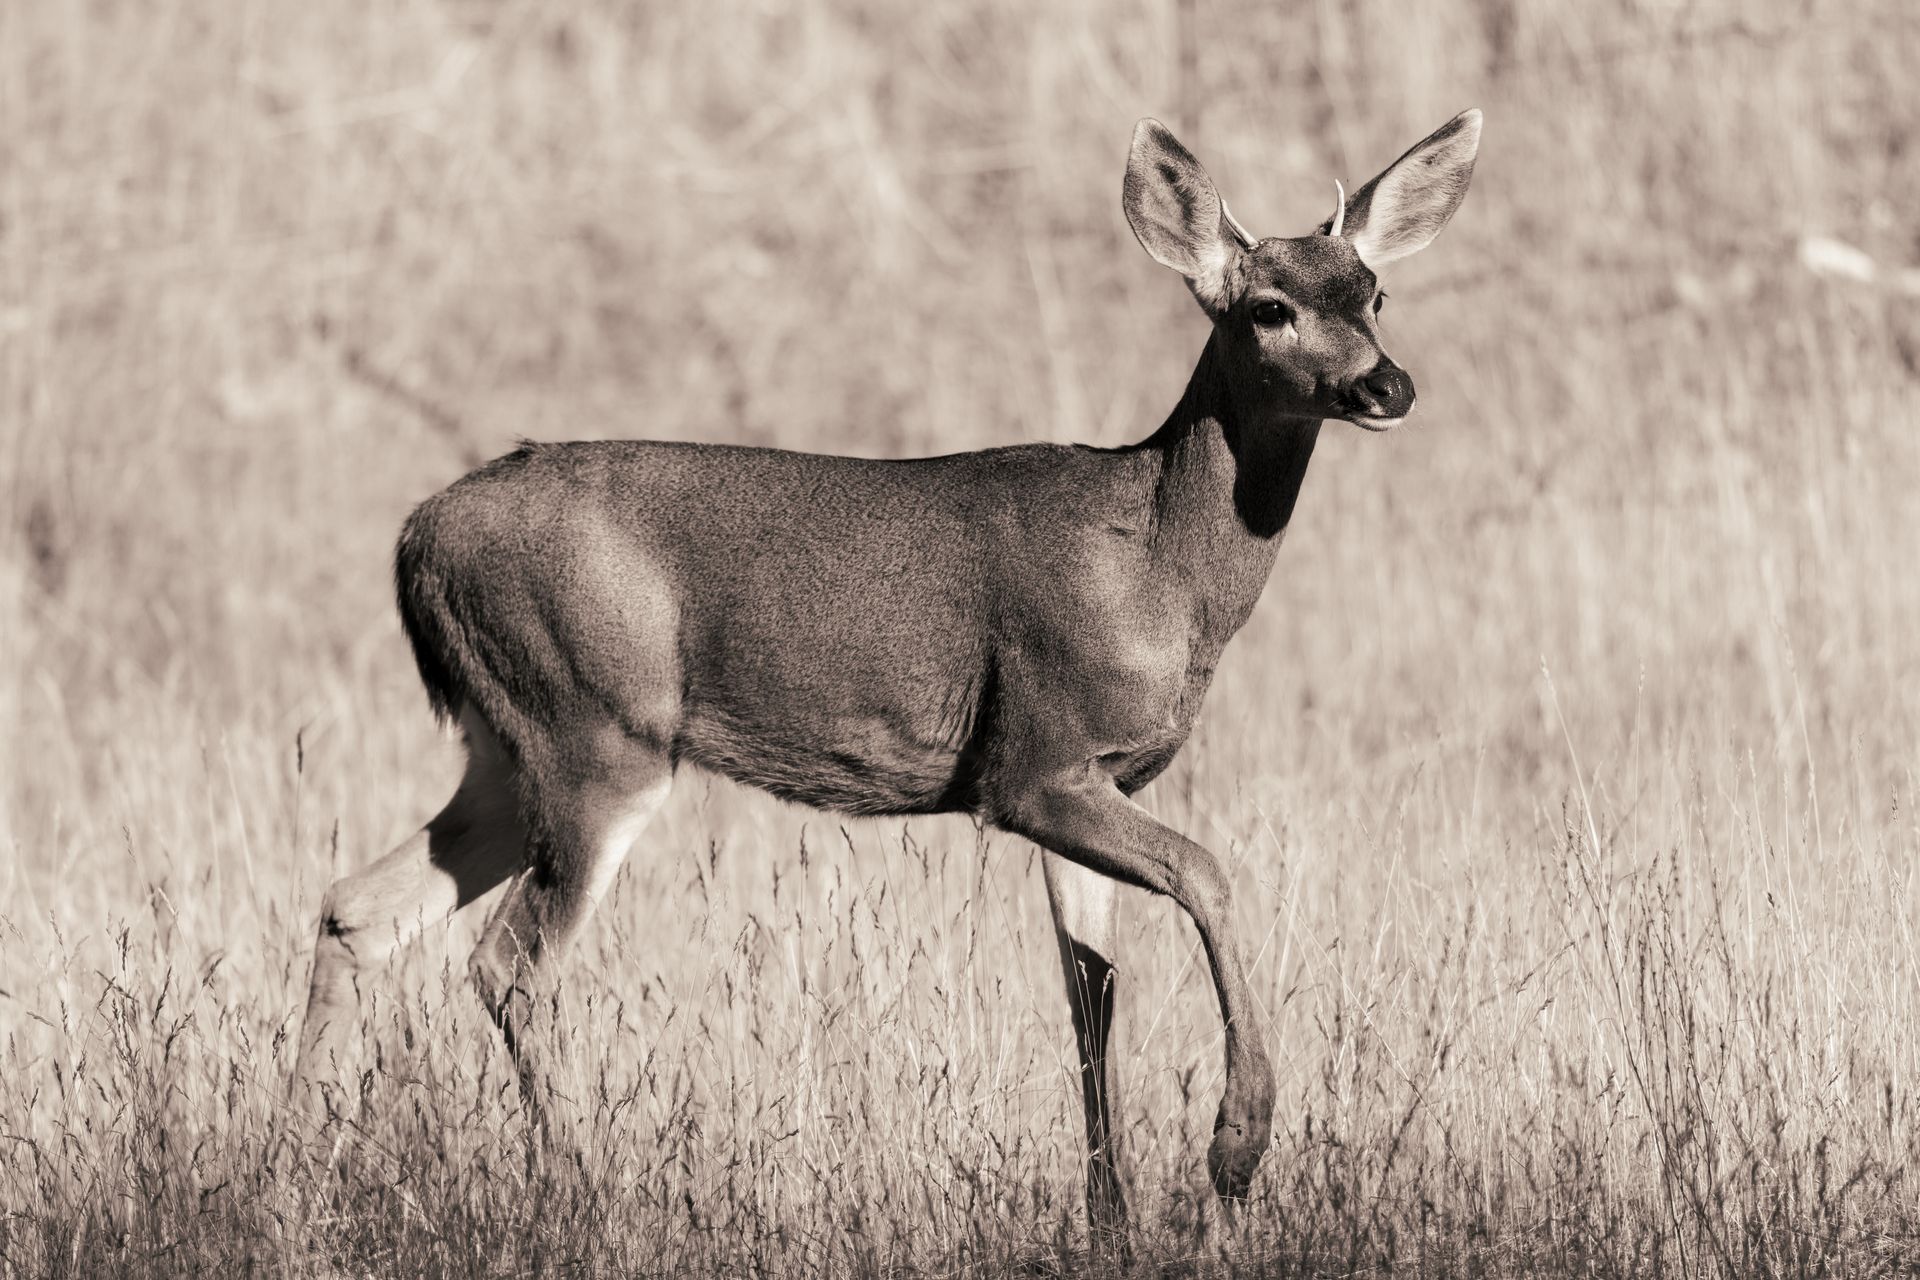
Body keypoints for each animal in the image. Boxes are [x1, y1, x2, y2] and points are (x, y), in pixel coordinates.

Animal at [294, 109, 1482, 1236]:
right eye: (1270, 306)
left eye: (1374, 291)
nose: (1389, 383)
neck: (1158, 567)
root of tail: (417, 536)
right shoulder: (1032, 761)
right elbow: (1212, 874)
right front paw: (1236, 1149)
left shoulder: (1099, 776)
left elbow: (1090, 989)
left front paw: (1113, 1217)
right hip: (596, 730)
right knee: (508, 965)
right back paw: (584, 1194)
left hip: (507, 747)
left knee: (356, 909)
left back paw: (289, 1169)